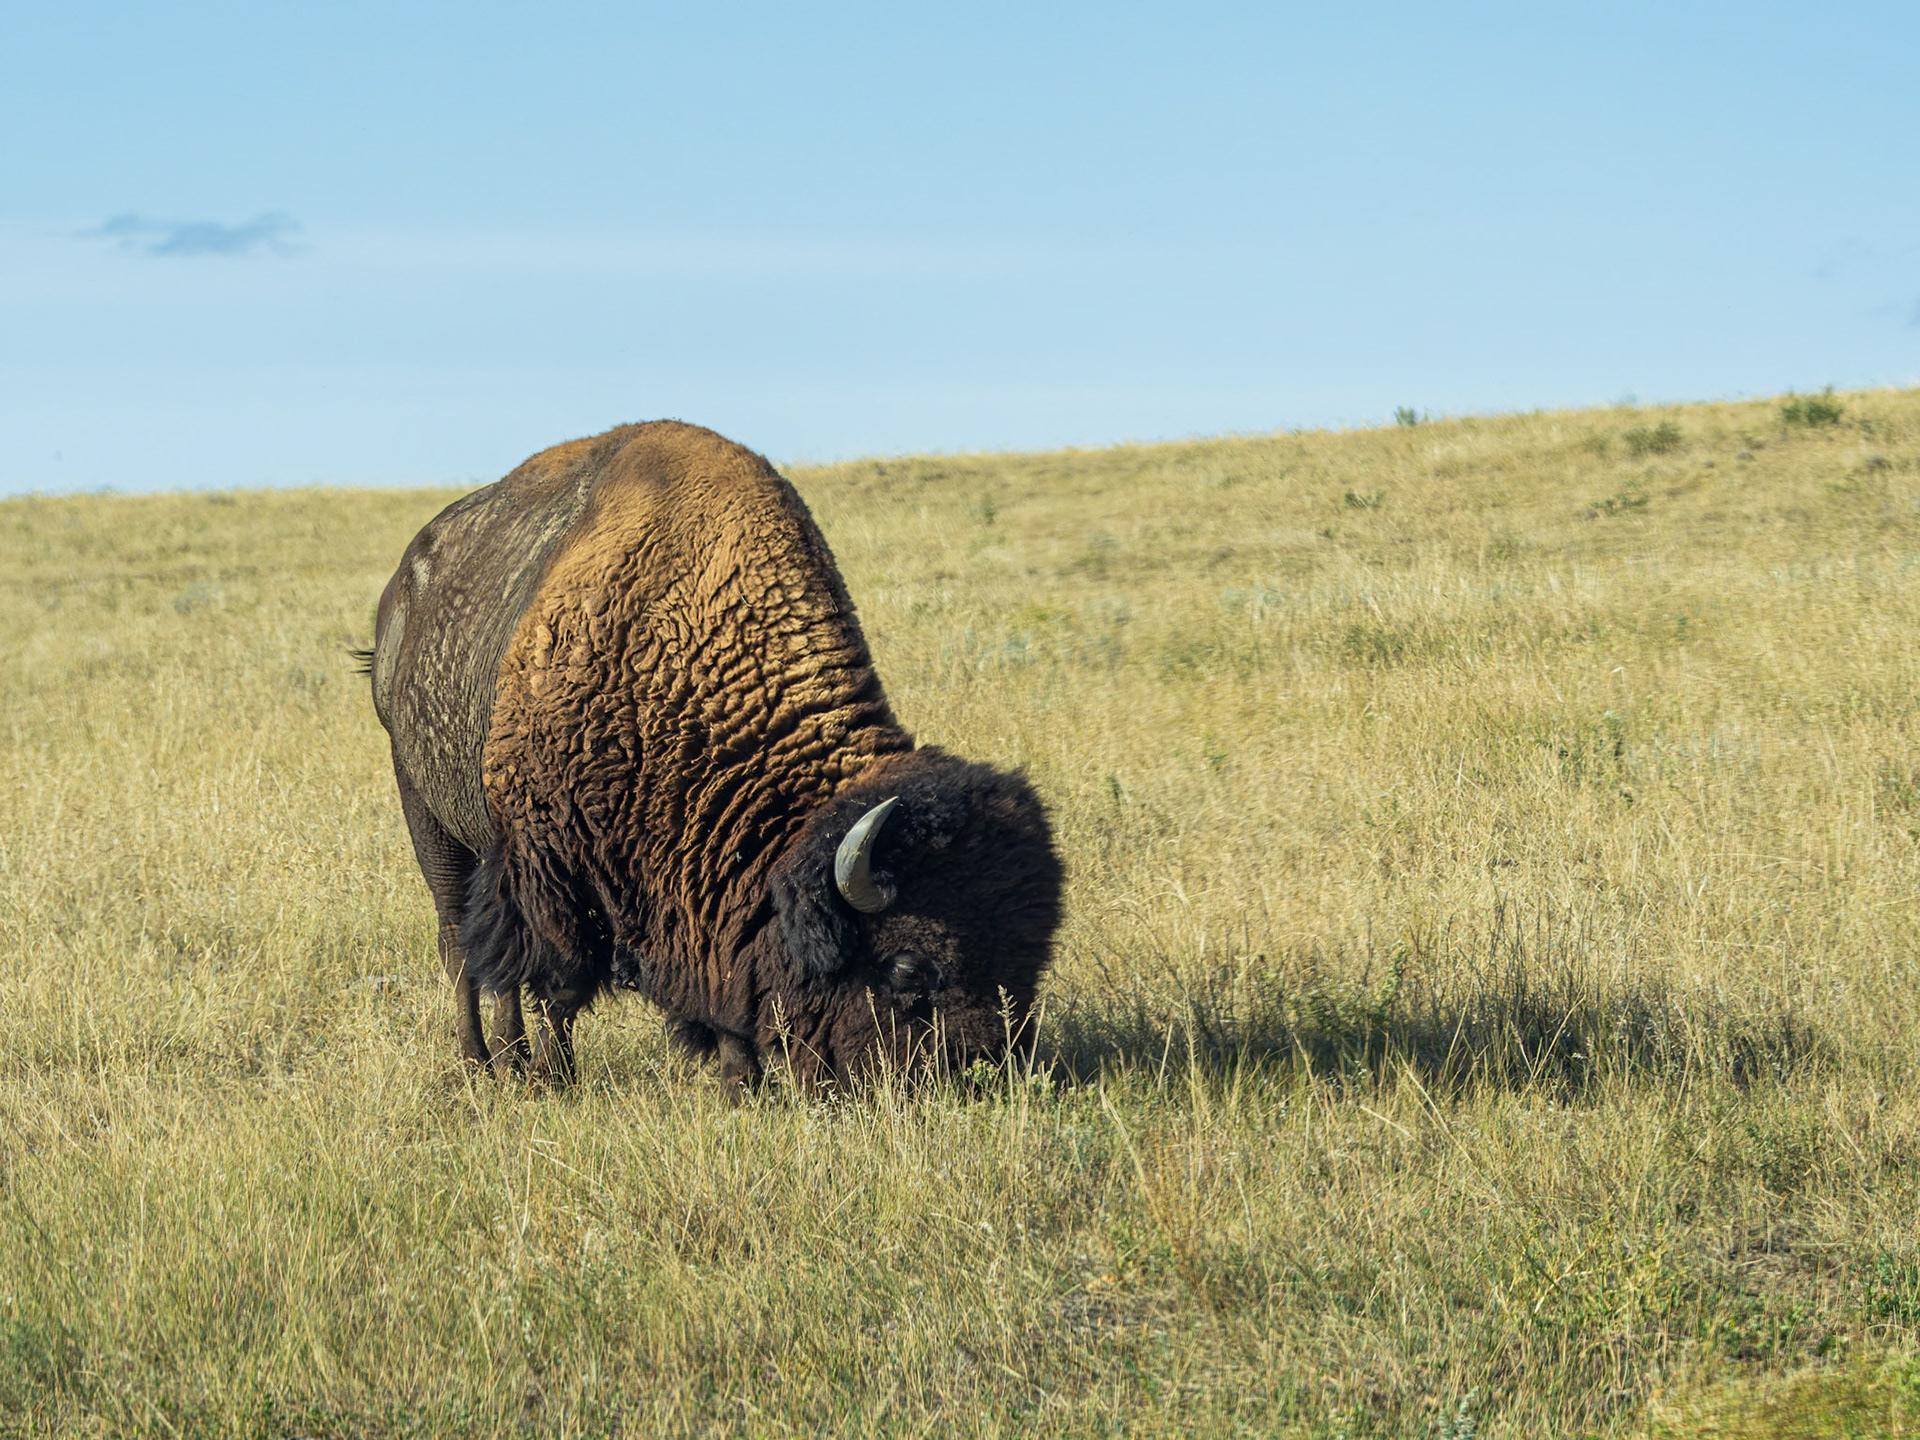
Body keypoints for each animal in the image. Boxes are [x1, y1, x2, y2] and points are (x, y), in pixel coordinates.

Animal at [365, 421, 1063, 1088]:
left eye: (1031, 957)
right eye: (907, 968)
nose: (979, 1073)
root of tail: (397, 602)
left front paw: (739, 1083)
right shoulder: (545, 863)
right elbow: (557, 981)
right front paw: (552, 1079)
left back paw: (506, 1060)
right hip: (428, 815)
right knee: (460, 942)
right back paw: (484, 1062)